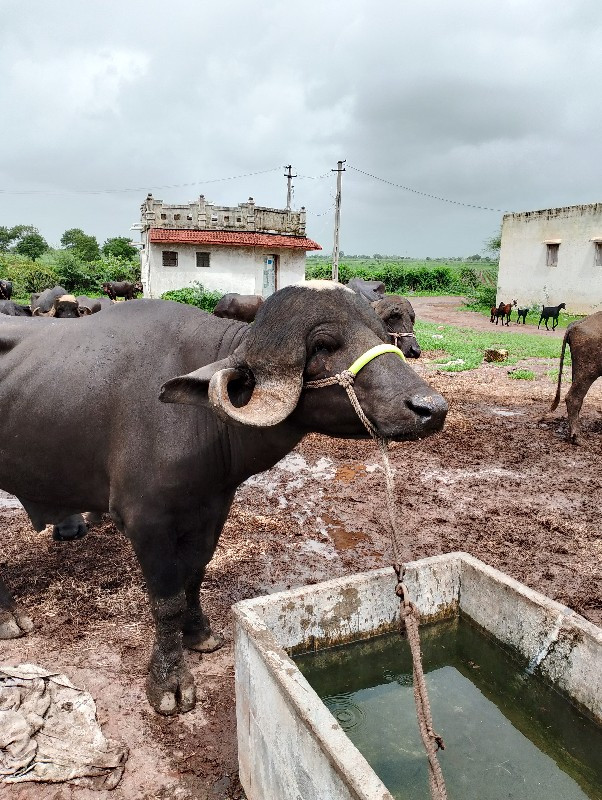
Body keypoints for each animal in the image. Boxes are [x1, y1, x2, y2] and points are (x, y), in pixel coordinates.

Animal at [0, 284, 446, 716]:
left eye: (382, 332)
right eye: (323, 345)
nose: (431, 408)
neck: (200, 418)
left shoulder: (212, 508)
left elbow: (194, 575)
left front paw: (199, 634)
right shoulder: (145, 521)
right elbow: (166, 600)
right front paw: (169, 683)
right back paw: (9, 618)